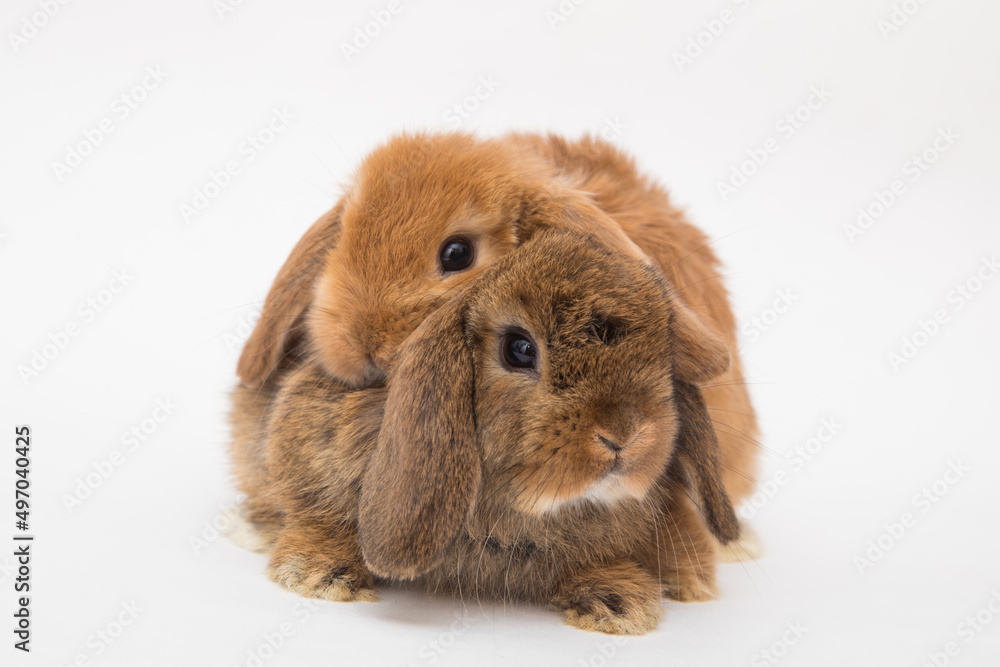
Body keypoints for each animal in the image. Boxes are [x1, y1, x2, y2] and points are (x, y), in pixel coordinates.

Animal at [230, 227, 742, 635]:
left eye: (662, 352)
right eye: (519, 349)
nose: (624, 435)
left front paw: (618, 602)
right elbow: (317, 511)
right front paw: (320, 573)